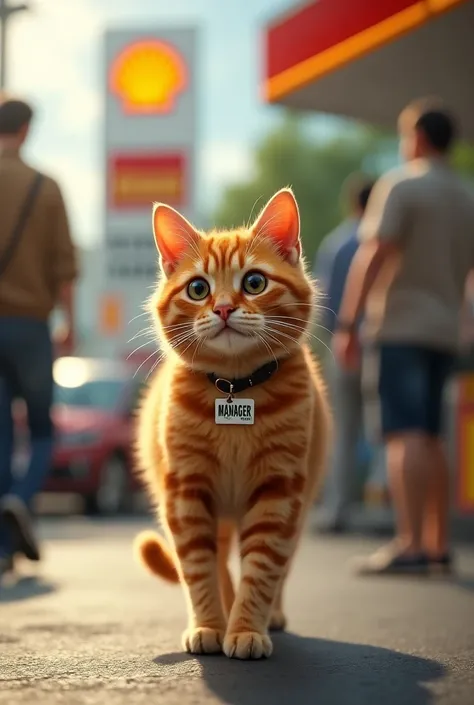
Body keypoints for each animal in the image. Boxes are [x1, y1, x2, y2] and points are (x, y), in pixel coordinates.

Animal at [133, 188, 330, 660]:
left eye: (254, 283)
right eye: (198, 288)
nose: (223, 308)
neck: (236, 389)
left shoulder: (280, 491)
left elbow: (262, 569)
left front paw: (246, 628)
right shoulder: (186, 491)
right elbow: (199, 569)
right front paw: (210, 624)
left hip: (299, 503)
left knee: (280, 565)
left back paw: (270, 616)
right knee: (220, 562)